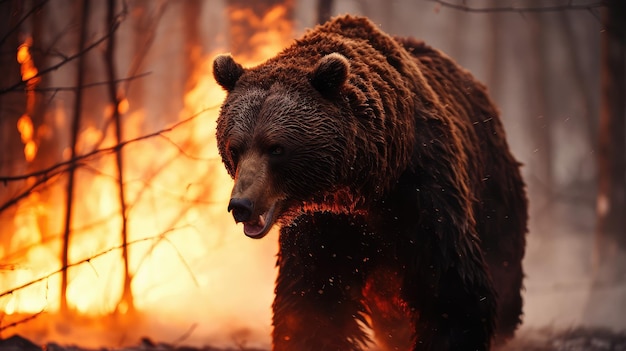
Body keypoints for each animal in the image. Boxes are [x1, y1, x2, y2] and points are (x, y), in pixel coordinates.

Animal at [212, 14, 524, 351]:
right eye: (235, 148)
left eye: (276, 148)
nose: (241, 205)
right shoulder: (324, 223)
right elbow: (314, 296)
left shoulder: (423, 193)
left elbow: (450, 290)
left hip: (492, 189)